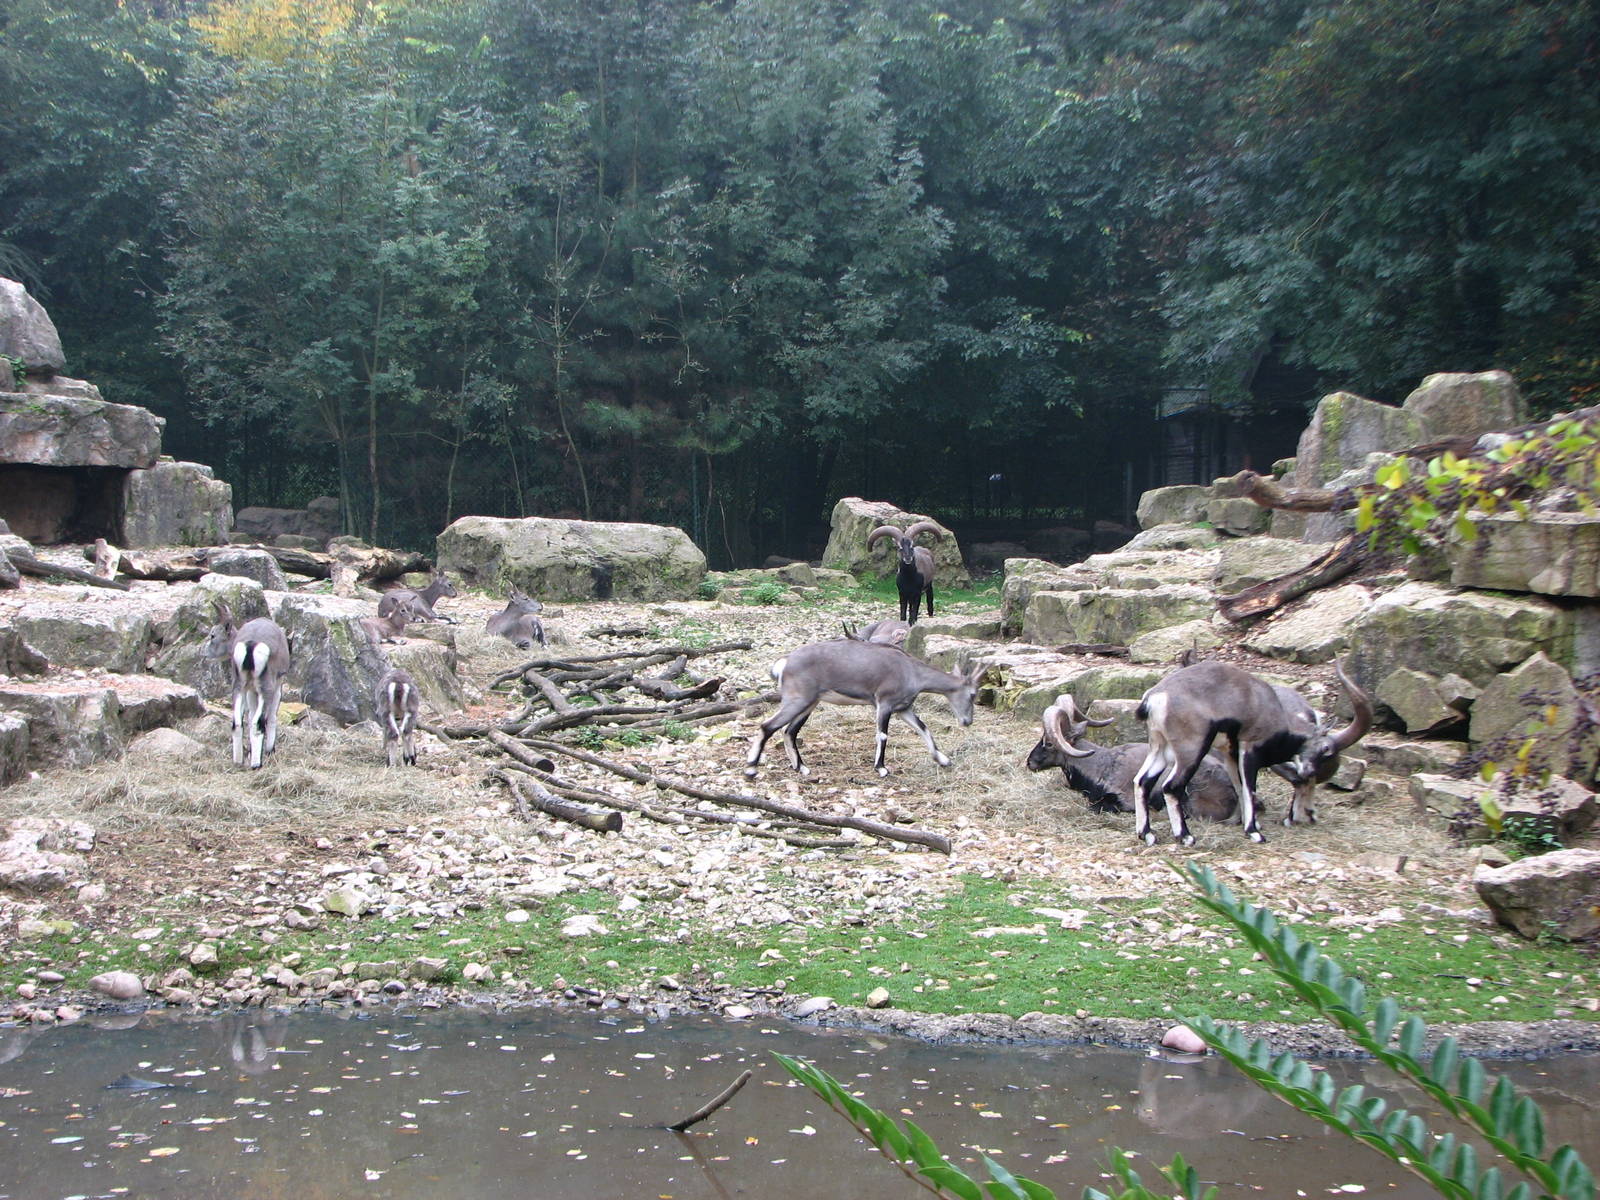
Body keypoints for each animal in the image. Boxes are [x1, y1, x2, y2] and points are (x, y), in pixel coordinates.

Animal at [203, 600, 291, 769]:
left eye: (212, 635)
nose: (204, 654)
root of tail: (251, 645)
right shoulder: (276, 686)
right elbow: (270, 717)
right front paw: (270, 750)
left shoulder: (249, 689)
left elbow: (249, 716)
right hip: (265, 687)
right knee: (258, 722)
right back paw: (256, 764)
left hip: (238, 686)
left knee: (237, 722)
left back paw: (238, 760)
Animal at [745, 639, 983, 777]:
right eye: (973, 694)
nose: (967, 721)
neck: (912, 672)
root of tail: (784, 663)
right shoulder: (884, 702)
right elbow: (883, 735)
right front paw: (881, 768)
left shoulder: (902, 708)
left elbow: (923, 728)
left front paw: (943, 760)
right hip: (798, 699)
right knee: (767, 726)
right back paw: (751, 768)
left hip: (809, 702)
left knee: (789, 731)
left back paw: (801, 767)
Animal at [1132, 659, 1373, 845]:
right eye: (1325, 749)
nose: (1307, 772)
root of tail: (1155, 697)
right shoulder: (1249, 749)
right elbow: (1250, 789)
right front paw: (1254, 832)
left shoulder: (1230, 753)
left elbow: (1239, 787)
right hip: (1191, 751)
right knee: (1171, 786)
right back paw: (1185, 836)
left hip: (1162, 749)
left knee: (1142, 781)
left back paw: (1147, 834)